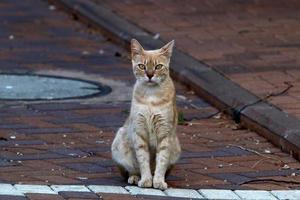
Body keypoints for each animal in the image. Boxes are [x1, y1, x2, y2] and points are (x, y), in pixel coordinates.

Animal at [110, 38, 180, 190]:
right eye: (142, 66)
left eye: (158, 66)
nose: (149, 75)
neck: (151, 96)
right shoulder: (139, 132)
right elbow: (143, 161)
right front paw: (147, 180)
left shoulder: (165, 134)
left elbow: (161, 161)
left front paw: (158, 181)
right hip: (120, 142)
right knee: (131, 170)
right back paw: (135, 178)